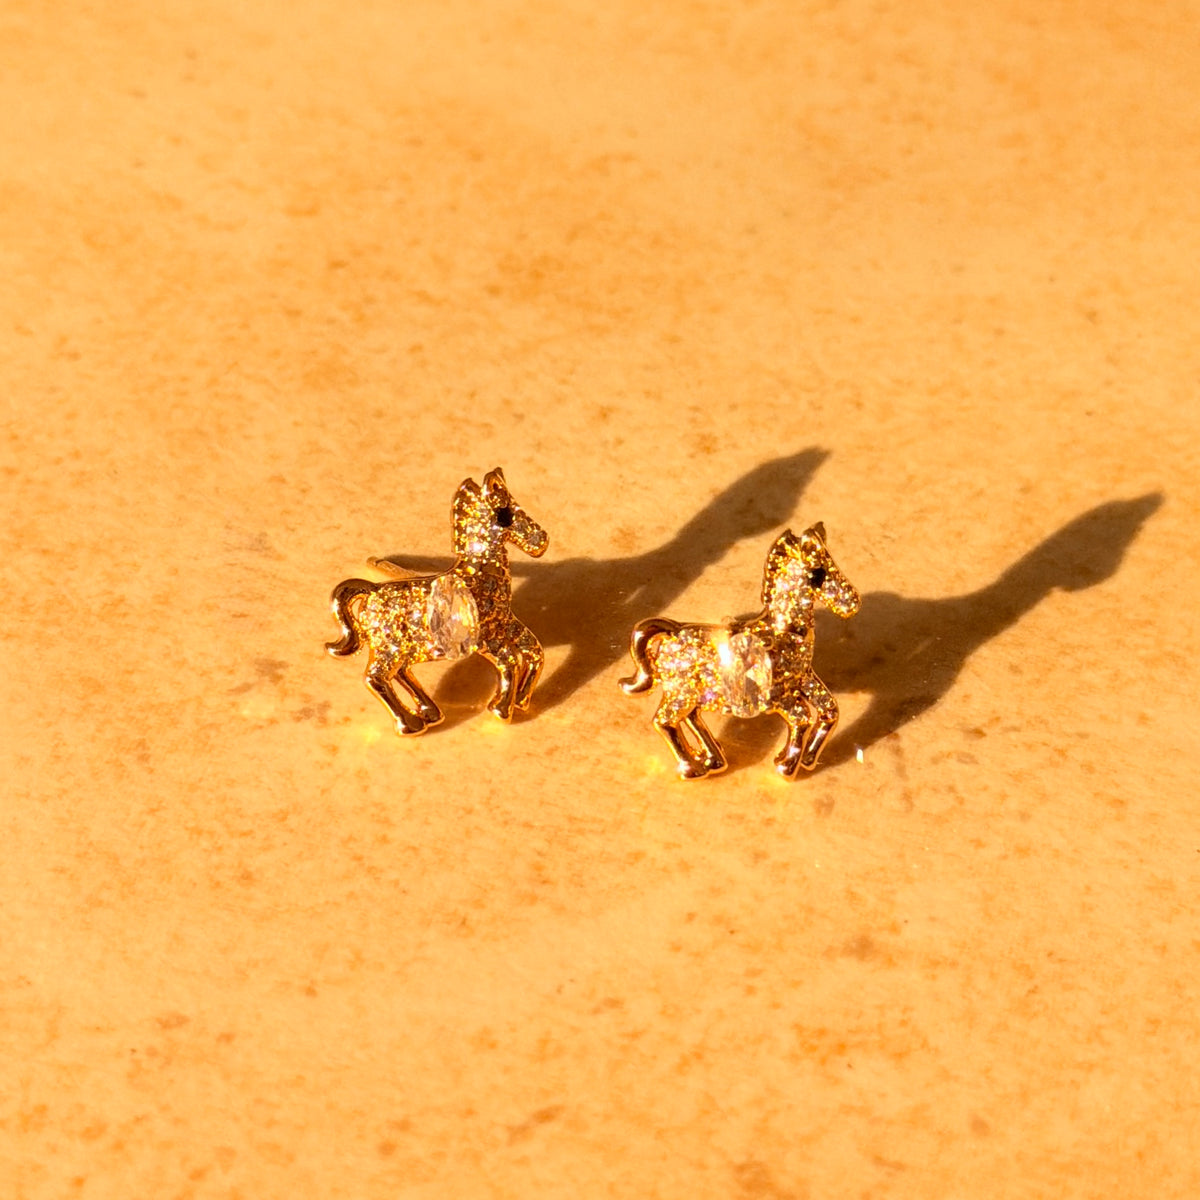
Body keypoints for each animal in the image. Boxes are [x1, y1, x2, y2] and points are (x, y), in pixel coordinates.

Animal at [326, 468, 549, 735]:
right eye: (504, 514)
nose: (541, 541)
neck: (479, 577)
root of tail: (370, 592)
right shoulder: (485, 641)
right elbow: (511, 661)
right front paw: (501, 709)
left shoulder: (506, 626)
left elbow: (534, 652)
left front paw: (521, 701)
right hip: (388, 649)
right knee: (375, 678)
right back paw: (409, 724)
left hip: (405, 649)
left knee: (400, 674)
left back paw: (430, 714)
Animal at [620, 523, 860, 779]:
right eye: (818, 574)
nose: (852, 603)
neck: (782, 632)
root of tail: (670, 634)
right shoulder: (780, 697)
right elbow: (801, 719)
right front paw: (786, 765)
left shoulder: (805, 680)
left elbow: (829, 711)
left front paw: (807, 758)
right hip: (680, 693)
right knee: (664, 722)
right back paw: (691, 768)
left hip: (693, 694)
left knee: (691, 719)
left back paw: (712, 760)